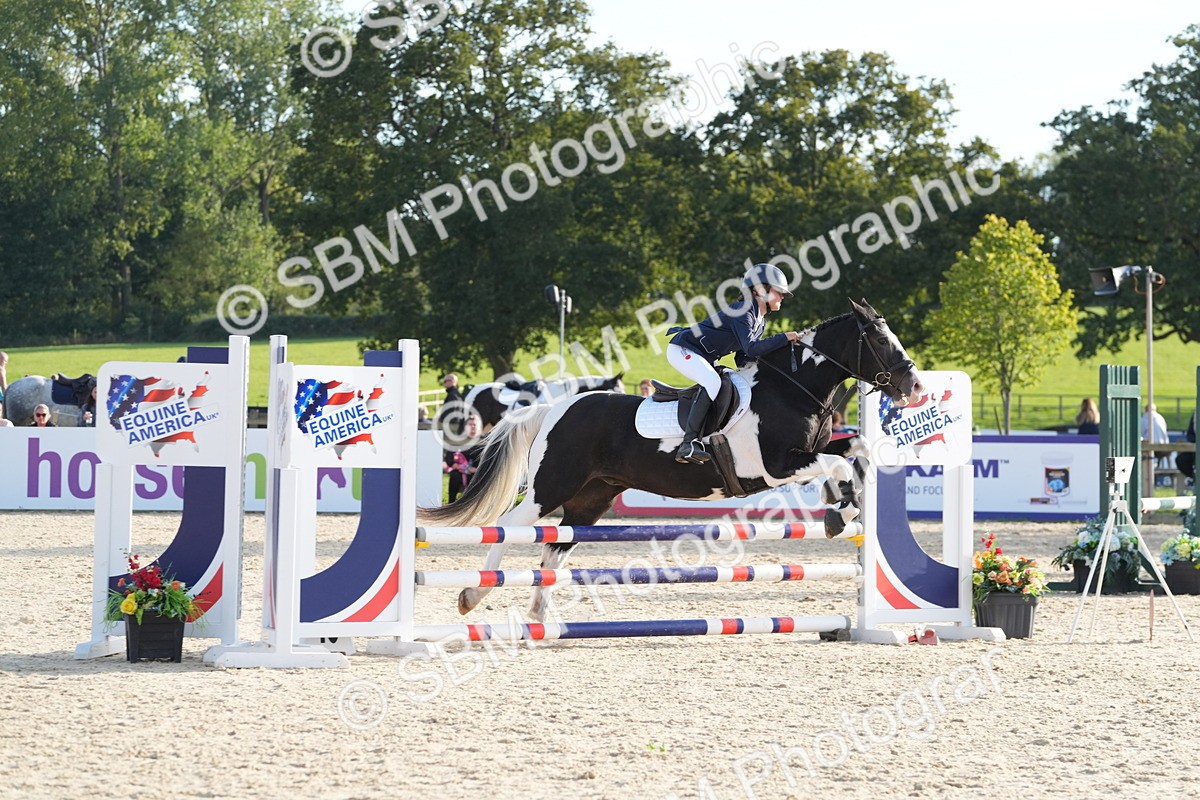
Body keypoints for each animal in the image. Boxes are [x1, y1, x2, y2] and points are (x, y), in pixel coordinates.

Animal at [418, 299, 923, 620]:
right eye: (880, 340)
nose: (914, 387)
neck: (792, 387)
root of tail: (555, 408)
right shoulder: (774, 465)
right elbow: (835, 464)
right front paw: (839, 514)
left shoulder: (814, 450)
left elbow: (854, 453)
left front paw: (845, 507)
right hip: (551, 487)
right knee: (510, 526)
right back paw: (472, 595)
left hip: (591, 498)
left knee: (556, 546)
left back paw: (540, 618)